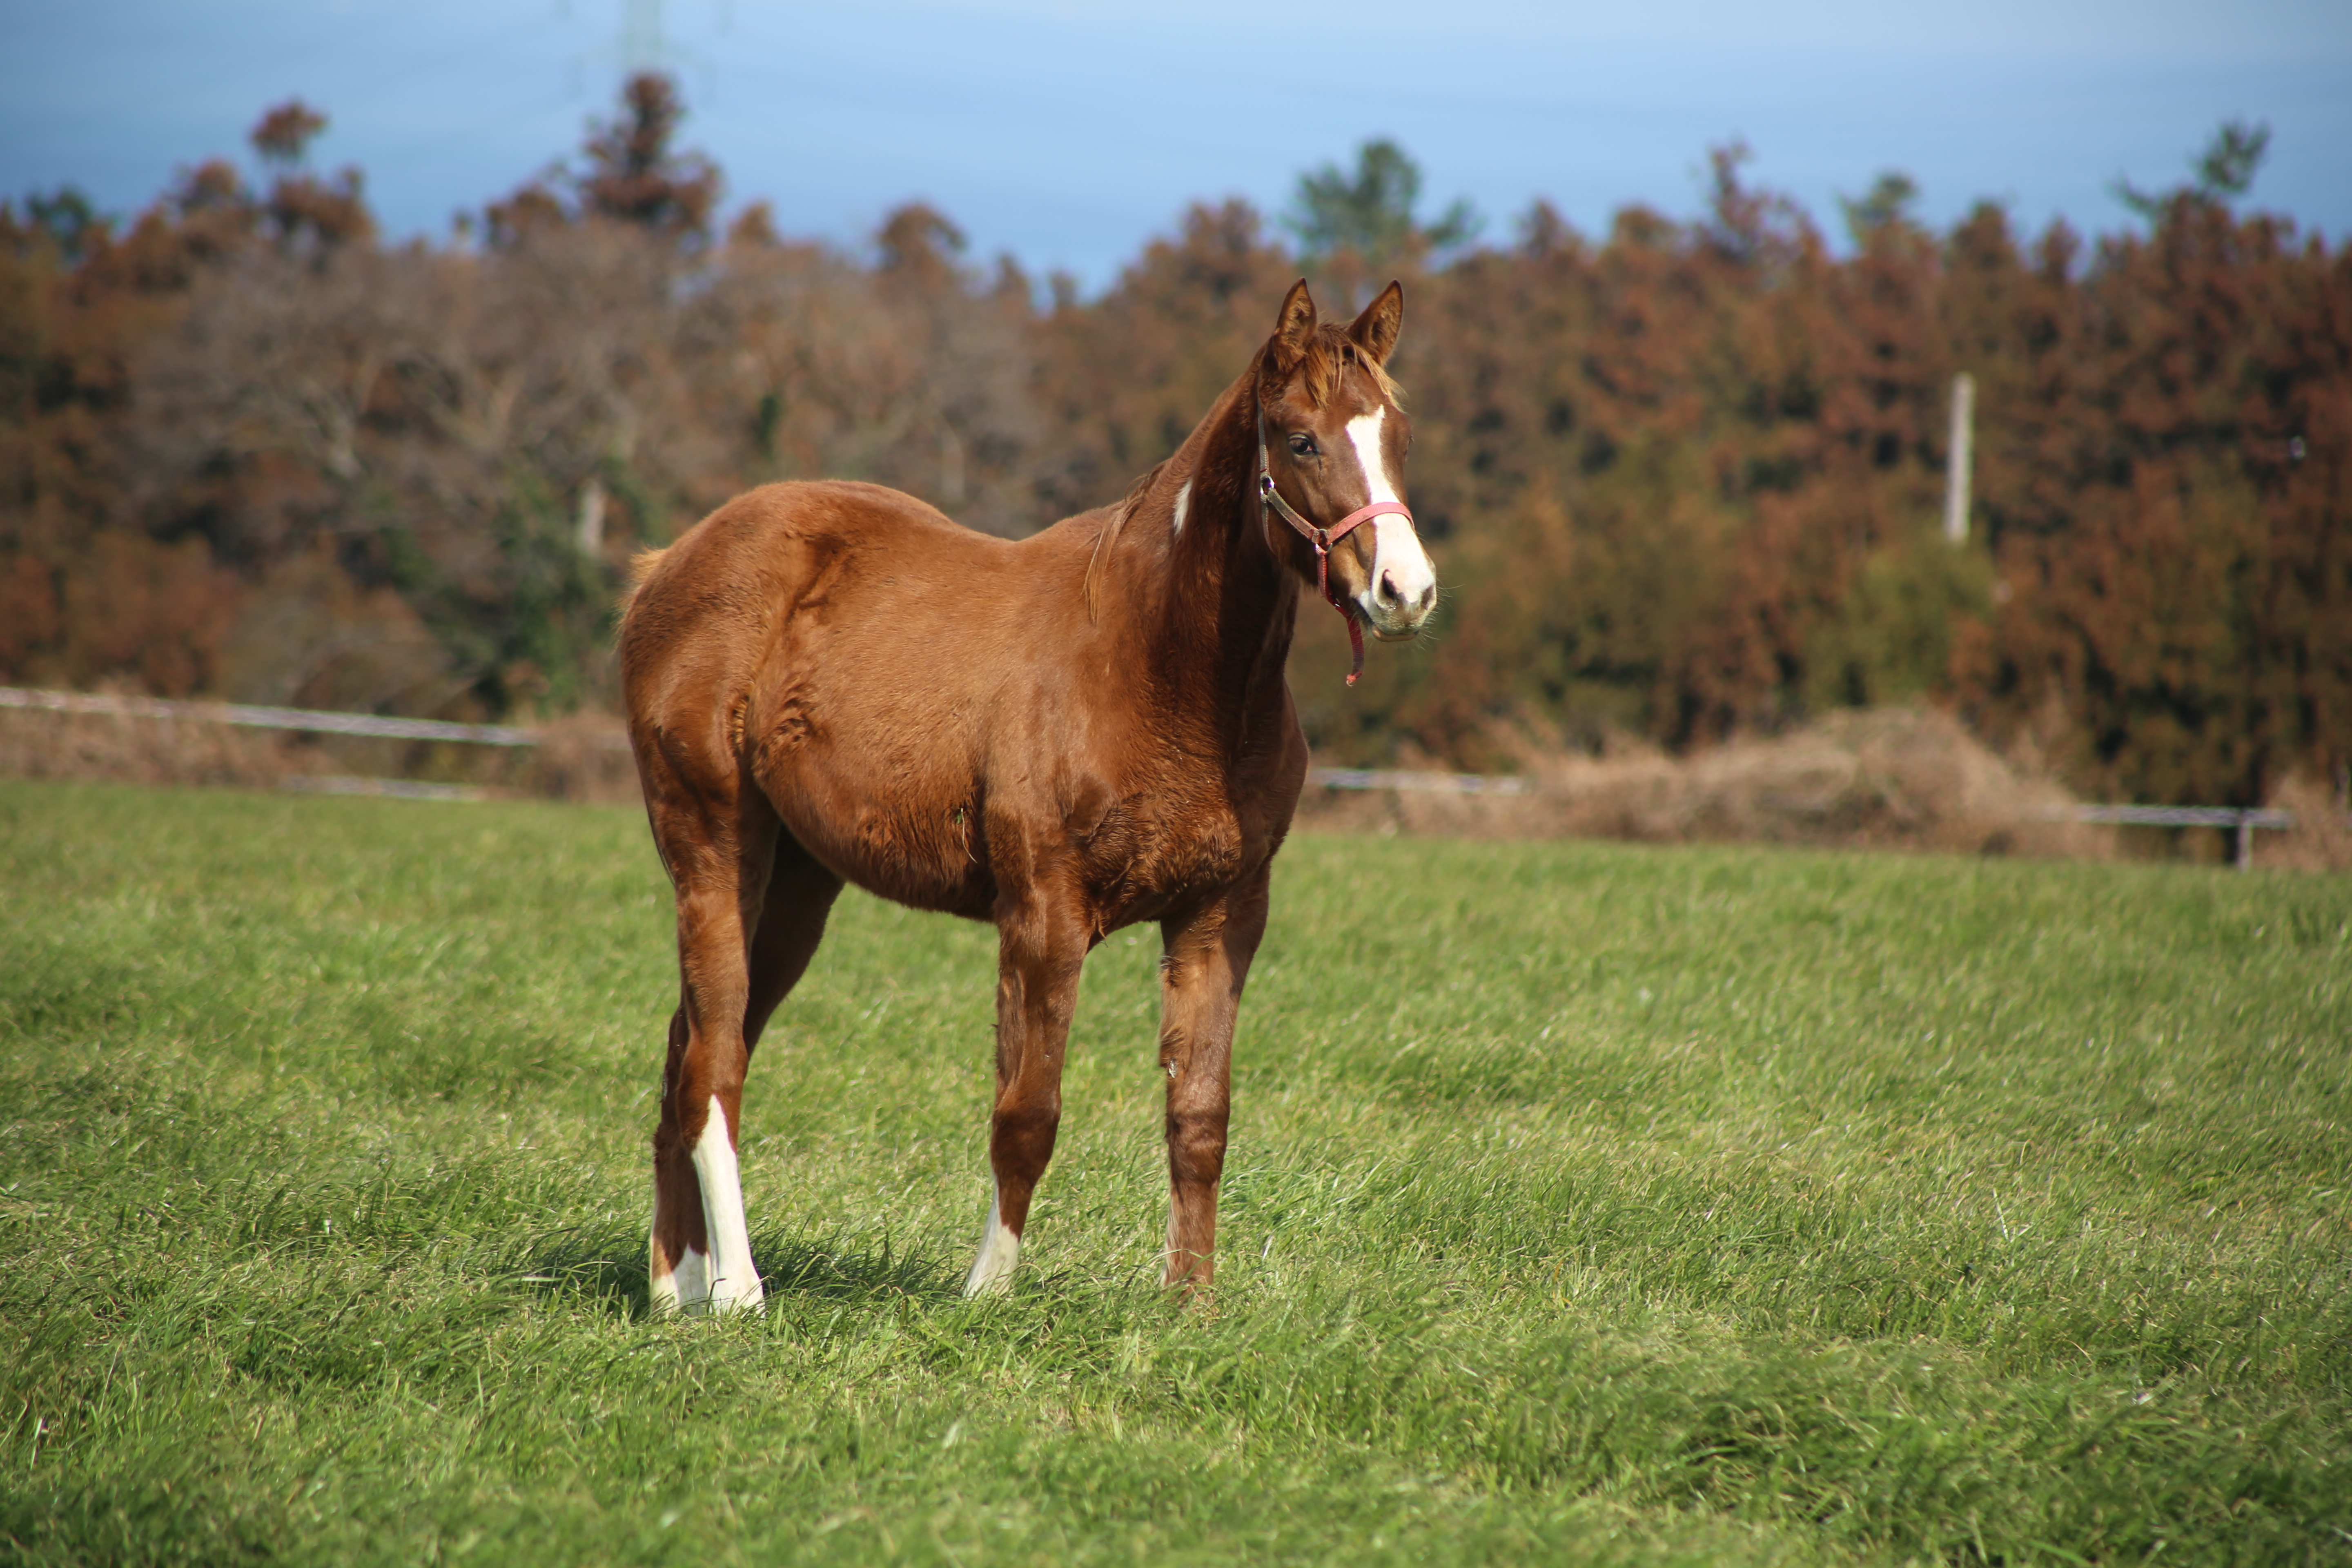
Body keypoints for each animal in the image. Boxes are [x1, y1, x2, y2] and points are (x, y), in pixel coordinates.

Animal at [616, 282, 1430, 1316]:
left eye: (1394, 433)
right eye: (1299, 440)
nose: (1406, 591)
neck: (1152, 661)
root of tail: (668, 563)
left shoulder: (1221, 916)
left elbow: (1200, 1117)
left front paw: (1192, 1306)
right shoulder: (1044, 914)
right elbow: (1027, 1114)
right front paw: (987, 1295)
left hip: (799, 882)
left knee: (689, 1056)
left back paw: (673, 1285)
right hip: (714, 847)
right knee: (717, 1060)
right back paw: (735, 1291)